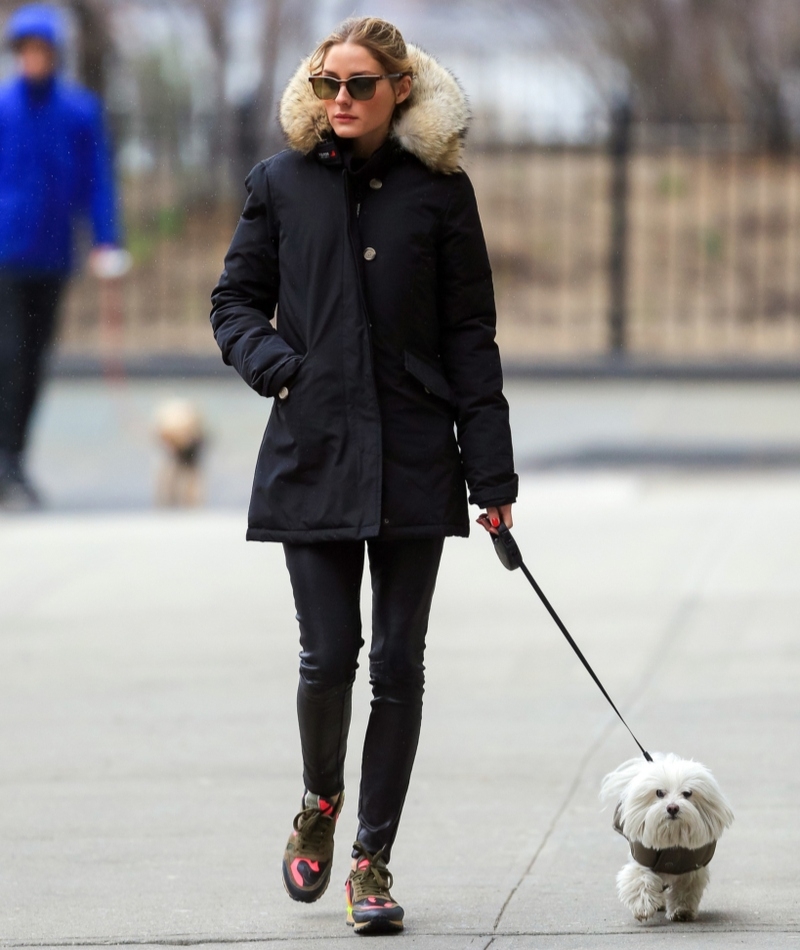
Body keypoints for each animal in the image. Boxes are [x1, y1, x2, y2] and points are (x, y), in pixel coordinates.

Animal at [600, 756, 736, 924]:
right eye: (659, 792)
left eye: (687, 793)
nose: (672, 808)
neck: (672, 837)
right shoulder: (642, 860)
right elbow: (639, 878)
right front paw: (643, 906)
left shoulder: (691, 868)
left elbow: (685, 889)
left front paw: (681, 910)